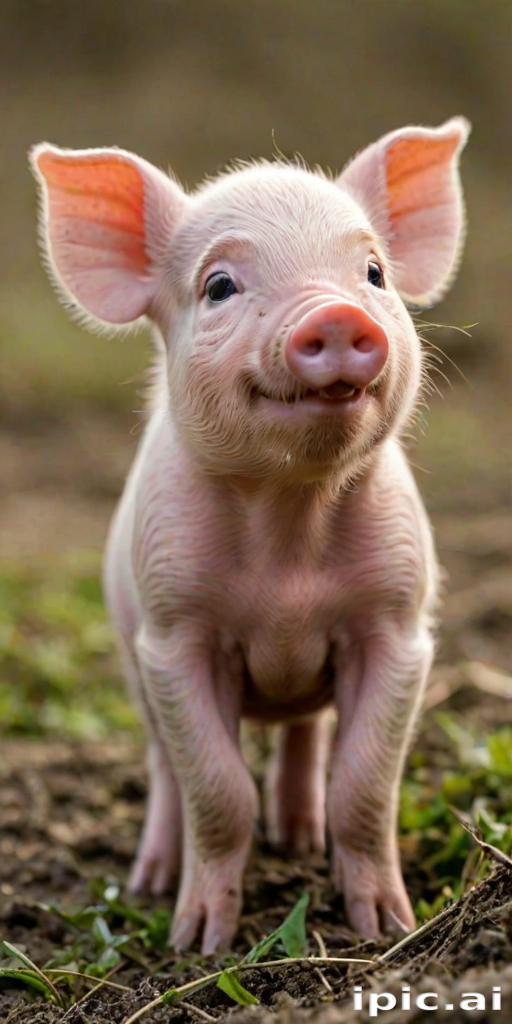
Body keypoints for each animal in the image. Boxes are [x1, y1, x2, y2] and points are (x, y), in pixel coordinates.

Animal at [30, 116, 470, 954]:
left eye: (373, 272)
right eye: (220, 286)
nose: (336, 315)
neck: (289, 533)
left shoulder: (399, 625)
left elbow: (365, 783)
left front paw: (385, 928)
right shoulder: (174, 634)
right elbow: (215, 788)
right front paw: (197, 941)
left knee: (305, 735)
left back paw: (296, 839)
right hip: (131, 659)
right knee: (165, 770)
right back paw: (152, 881)